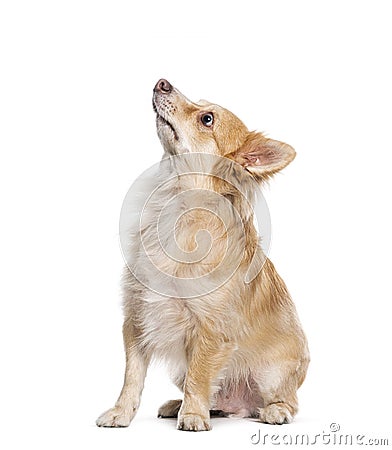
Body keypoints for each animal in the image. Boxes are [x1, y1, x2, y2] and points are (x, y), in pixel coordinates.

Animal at [95, 79, 310, 430]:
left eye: (207, 119)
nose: (163, 83)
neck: (177, 206)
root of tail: (241, 407)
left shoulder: (210, 330)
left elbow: (199, 376)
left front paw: (194, 416)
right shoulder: (137, 318)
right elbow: (132, 376)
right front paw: (121, 413)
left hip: (272, 373)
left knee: (287, 400)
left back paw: (273, 411)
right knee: (213, 395)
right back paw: (180, 405)